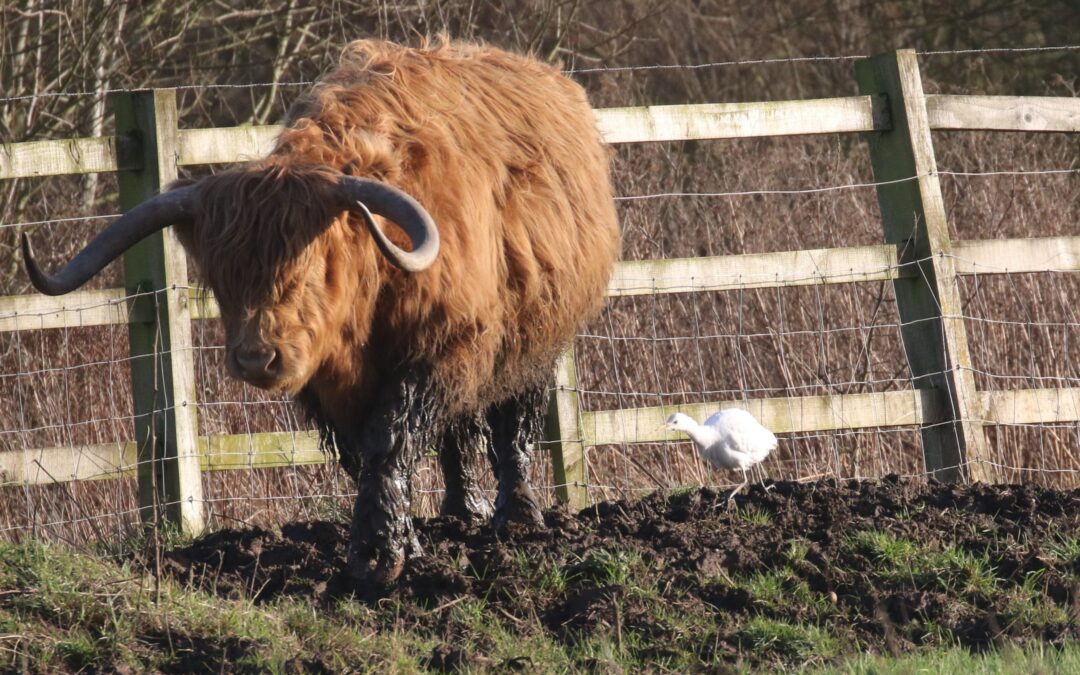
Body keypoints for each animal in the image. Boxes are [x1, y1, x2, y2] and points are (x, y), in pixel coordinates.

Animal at [22, 38, 620, 585]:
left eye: (307, 269)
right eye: (219, 279)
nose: (256, 359)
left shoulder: (439, 350)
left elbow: (391, 442)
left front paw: (379, 556)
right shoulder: (330, 386)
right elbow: (367, 455)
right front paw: (403, 542)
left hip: (534, 342)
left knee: (512, 425)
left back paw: (517, 518)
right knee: (458, 435)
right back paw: (459, 513)